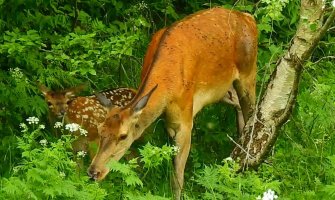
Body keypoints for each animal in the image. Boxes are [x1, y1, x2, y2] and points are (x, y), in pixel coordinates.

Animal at [87, 7, 258, 199]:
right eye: (100, 129)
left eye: (123, 135)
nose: (94, 172)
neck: (166, 87)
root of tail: (248, 18)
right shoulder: (167, 121)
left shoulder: (185, 119)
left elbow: (178, 176)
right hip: (223, 89)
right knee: (237, 104)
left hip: (248, 72)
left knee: (253, 111)